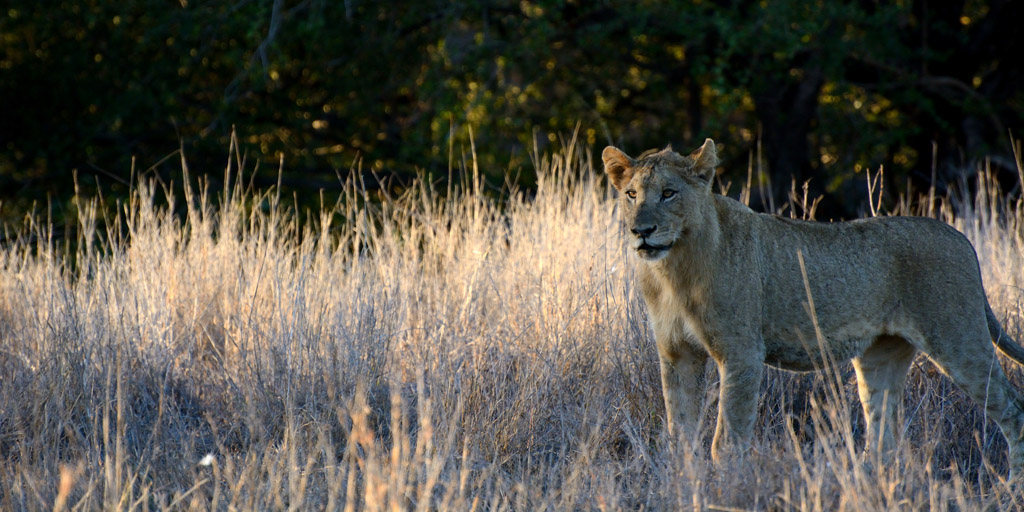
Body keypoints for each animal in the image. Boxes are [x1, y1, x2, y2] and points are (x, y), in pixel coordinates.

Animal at [602, 138, 1024, 475]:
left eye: (668, 193)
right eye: (631, 195)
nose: (641, 231)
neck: (672, 269)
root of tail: (960, 236)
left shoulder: (741, 353)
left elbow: (727, 440)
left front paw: (727, 487)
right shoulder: (676, 354)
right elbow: (680, 433)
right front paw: (683, 481)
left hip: (958, 339)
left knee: (1011, 408)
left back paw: (1010, 486)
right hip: (880, 355)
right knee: (883, 432)